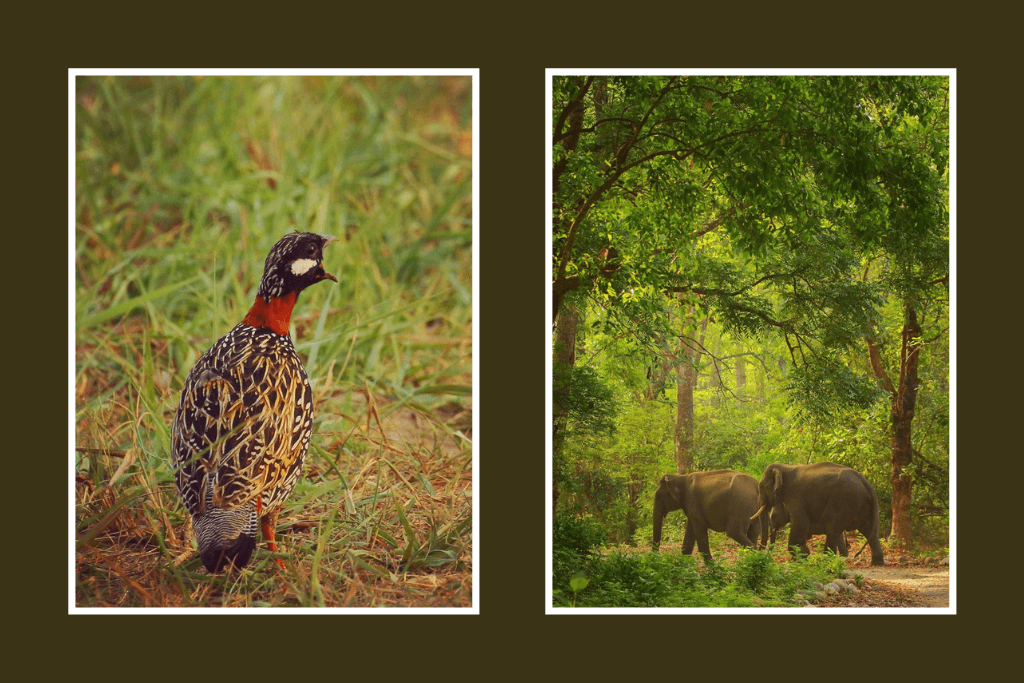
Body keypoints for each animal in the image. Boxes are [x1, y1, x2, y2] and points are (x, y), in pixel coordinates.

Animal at [749, 462, 884, 569]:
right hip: (864, 505)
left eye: (761, 486)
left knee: (832, 528)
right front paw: (804, 555)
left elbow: (800, 523)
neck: (785, 467)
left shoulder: (795, 496)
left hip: (843, 500)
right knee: (869, 531)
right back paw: (876, 563)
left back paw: (825, 562)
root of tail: (866, 483)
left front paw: (804, 557)